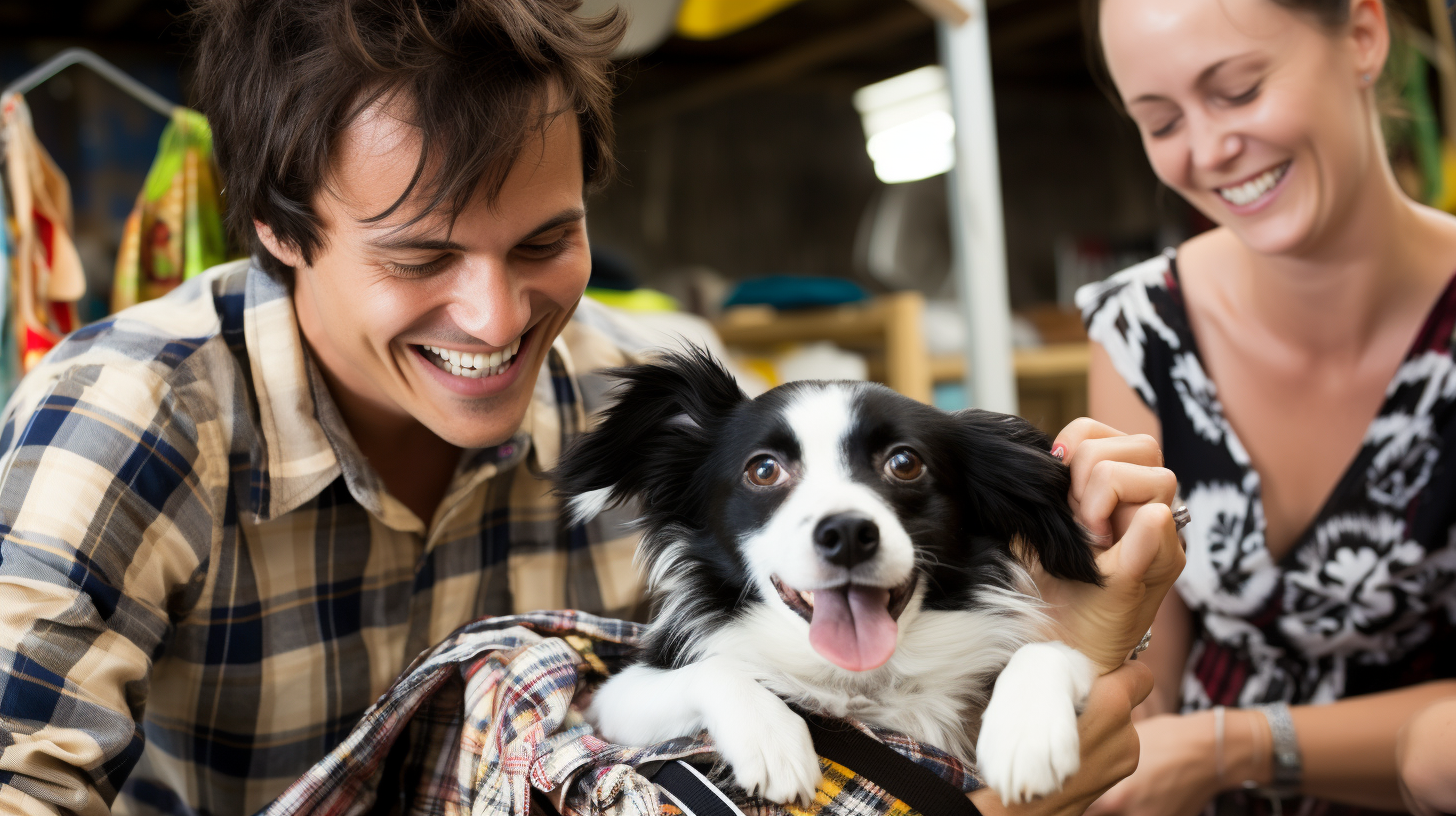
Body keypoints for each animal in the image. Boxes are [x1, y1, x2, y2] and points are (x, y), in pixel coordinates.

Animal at [556, 351, 1100, 804]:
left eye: (905, 462)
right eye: (764, 470)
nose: (847, 533)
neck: (859, 679)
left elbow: (1045, 652)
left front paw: (1026, 735)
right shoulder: (614, 701)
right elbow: (715, 671)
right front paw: (772, 739)